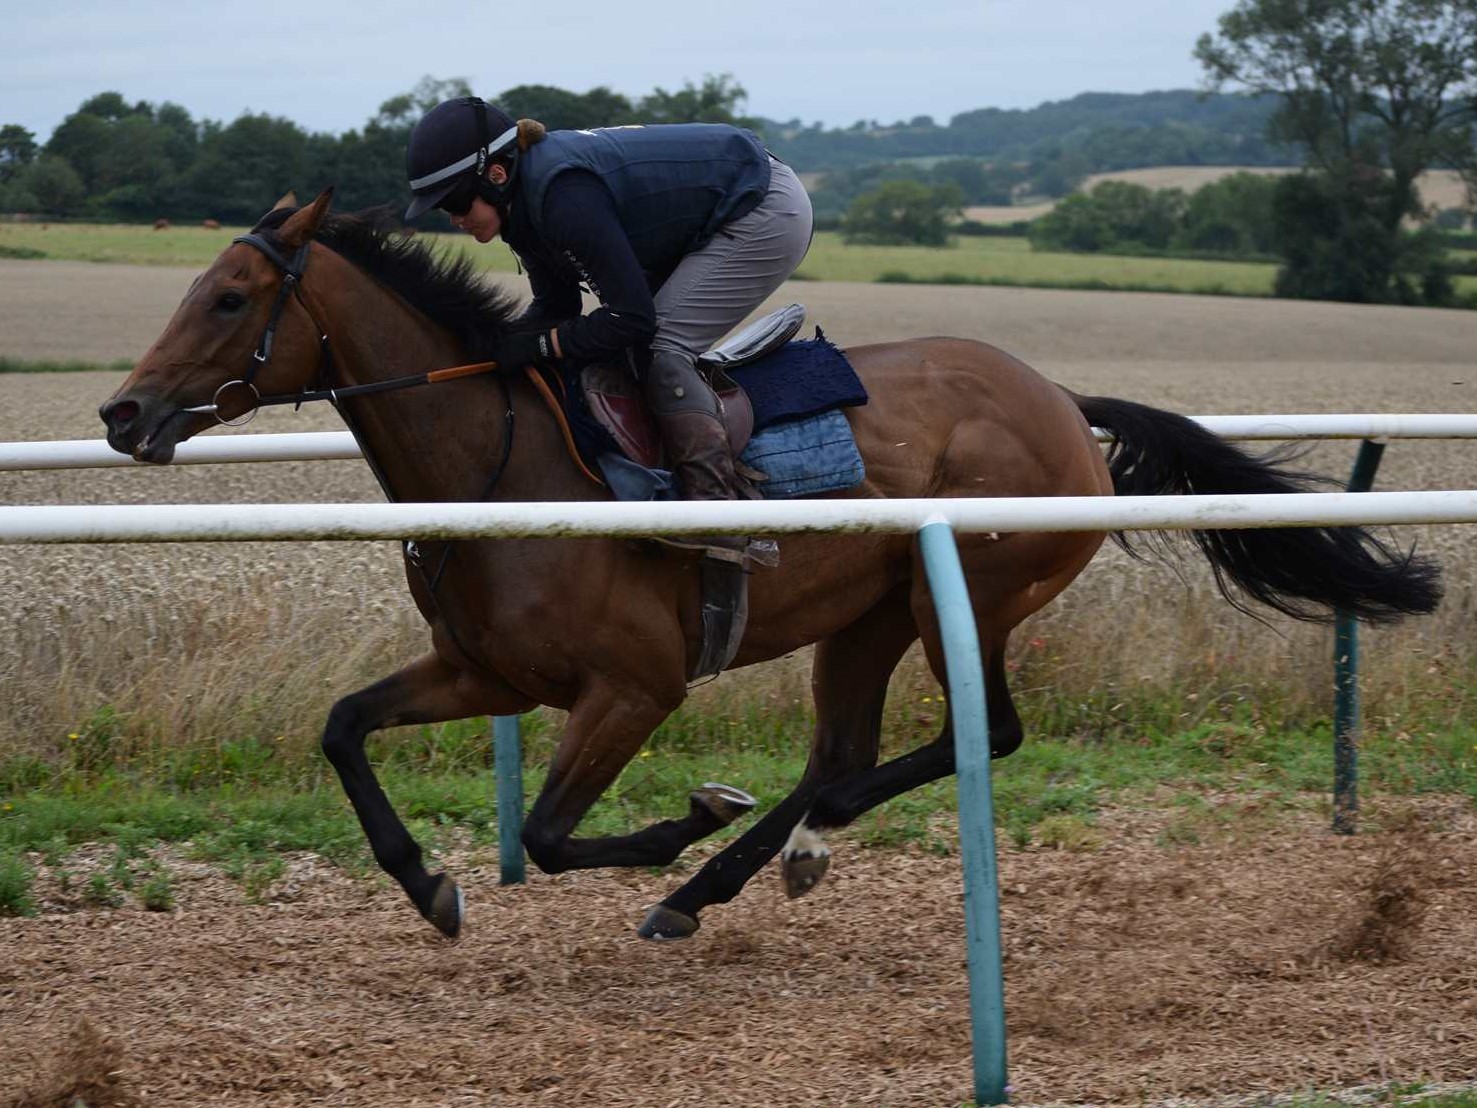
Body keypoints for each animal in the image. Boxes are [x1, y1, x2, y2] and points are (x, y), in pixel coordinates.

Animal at [98, 195, 1435, 939]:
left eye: (228, 298)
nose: (121, 412)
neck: (502, 455)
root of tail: (1059, 397)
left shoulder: (636, 687)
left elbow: (550, 830)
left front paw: (687, 817)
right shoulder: (486, 674)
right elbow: (343, 727)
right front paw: (429, 885)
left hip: (970, 586)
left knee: (978, 736)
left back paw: (746, 859)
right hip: (866, 615)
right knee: (840, 756)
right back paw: (740, 874)